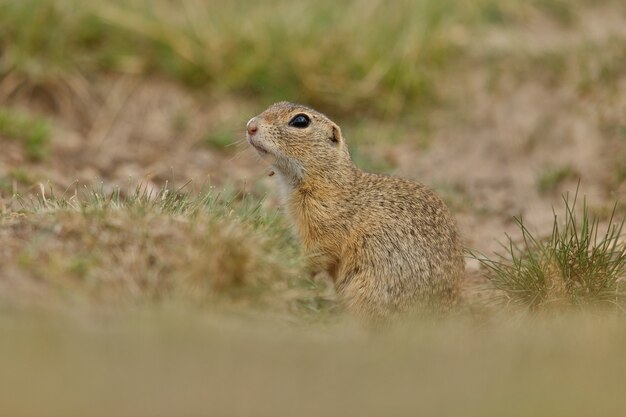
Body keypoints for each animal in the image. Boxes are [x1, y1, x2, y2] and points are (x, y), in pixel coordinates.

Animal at [246, 101, 460, 318]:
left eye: (300, 121)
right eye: (274, 105)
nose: (250, 126)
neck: (329, 178)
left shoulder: (324, 225)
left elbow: (319, 254)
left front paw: (293, 267)